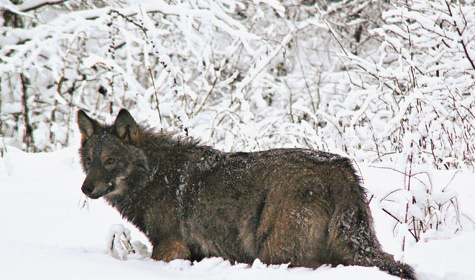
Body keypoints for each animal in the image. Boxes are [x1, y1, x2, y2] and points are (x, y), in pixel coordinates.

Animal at [78, 108, 416, 278]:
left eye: (110, 160)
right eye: (90, 160)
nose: (86, 188)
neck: (154, 175)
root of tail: (340, 169)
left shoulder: (170, 248)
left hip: (275, 251)